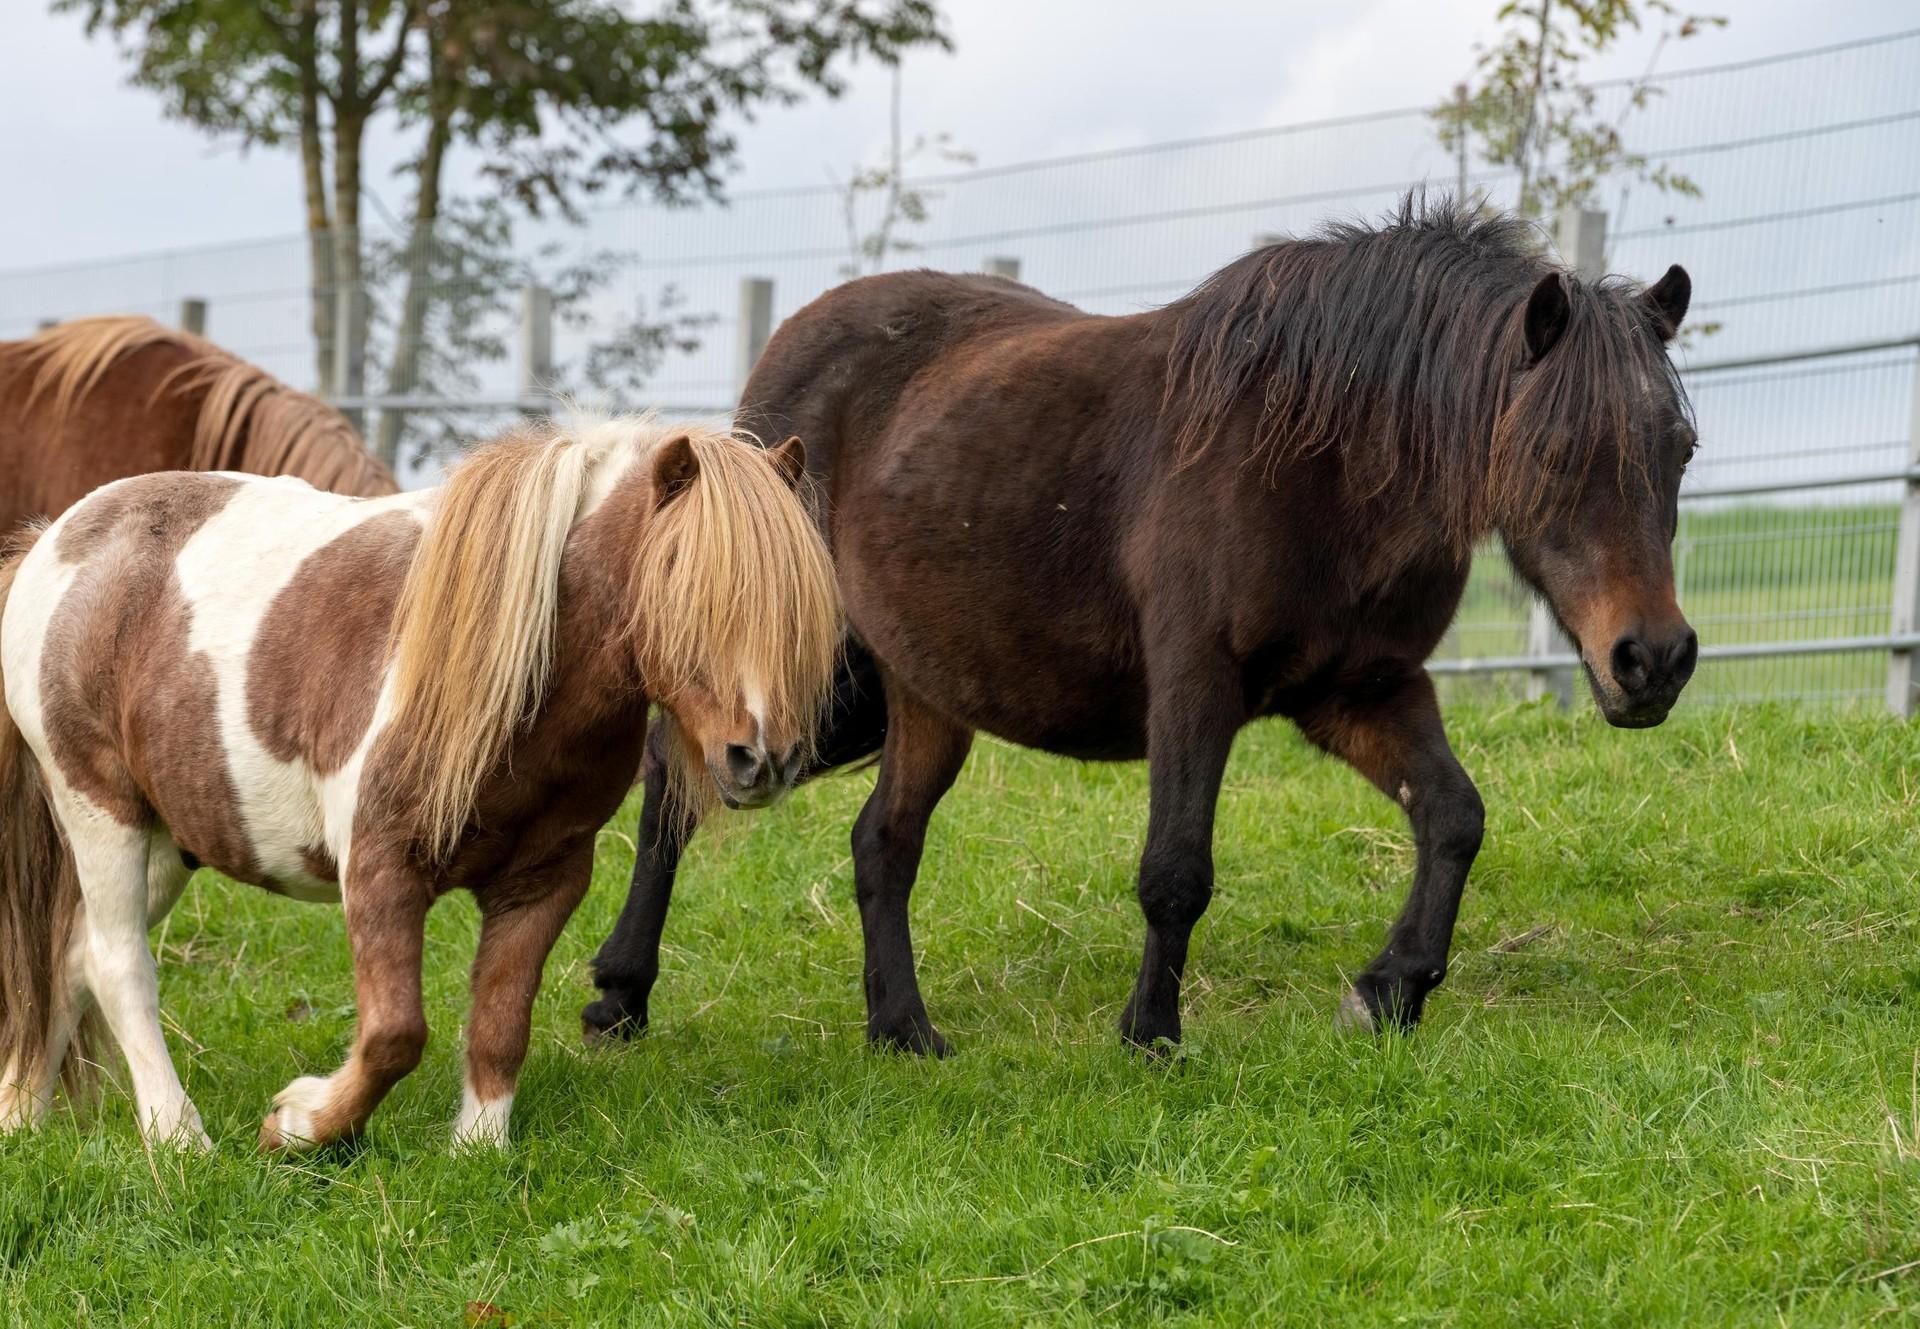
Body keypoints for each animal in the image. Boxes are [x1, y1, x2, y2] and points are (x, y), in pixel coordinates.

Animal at [0, 416, 840, 1151]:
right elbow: (396, 1034)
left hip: (170, 840)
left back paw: (22, 1119)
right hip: (101, 813)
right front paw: (300, 1125)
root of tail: (53, 542)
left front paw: (478, 1147)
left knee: (71, 961)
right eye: (681, 578)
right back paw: (179, 1137)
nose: (762, 758)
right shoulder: (379, 867)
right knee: (118, 964)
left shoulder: (544, 879)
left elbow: (501, 1021)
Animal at [583, 198, 1700, 1054]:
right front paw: (1151, 1033)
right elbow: (1175, 872)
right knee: (675, 783)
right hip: (810, 679)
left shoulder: (1362, 689)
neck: (1322, 460)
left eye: (1679, 448)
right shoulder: (1195, 686)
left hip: (917, 696)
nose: (1653, 659)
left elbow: (1454, 816)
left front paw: (1388, 990)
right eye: (1553, 451)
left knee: (881, 841)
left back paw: (902, 1030)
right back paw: (619, 995)